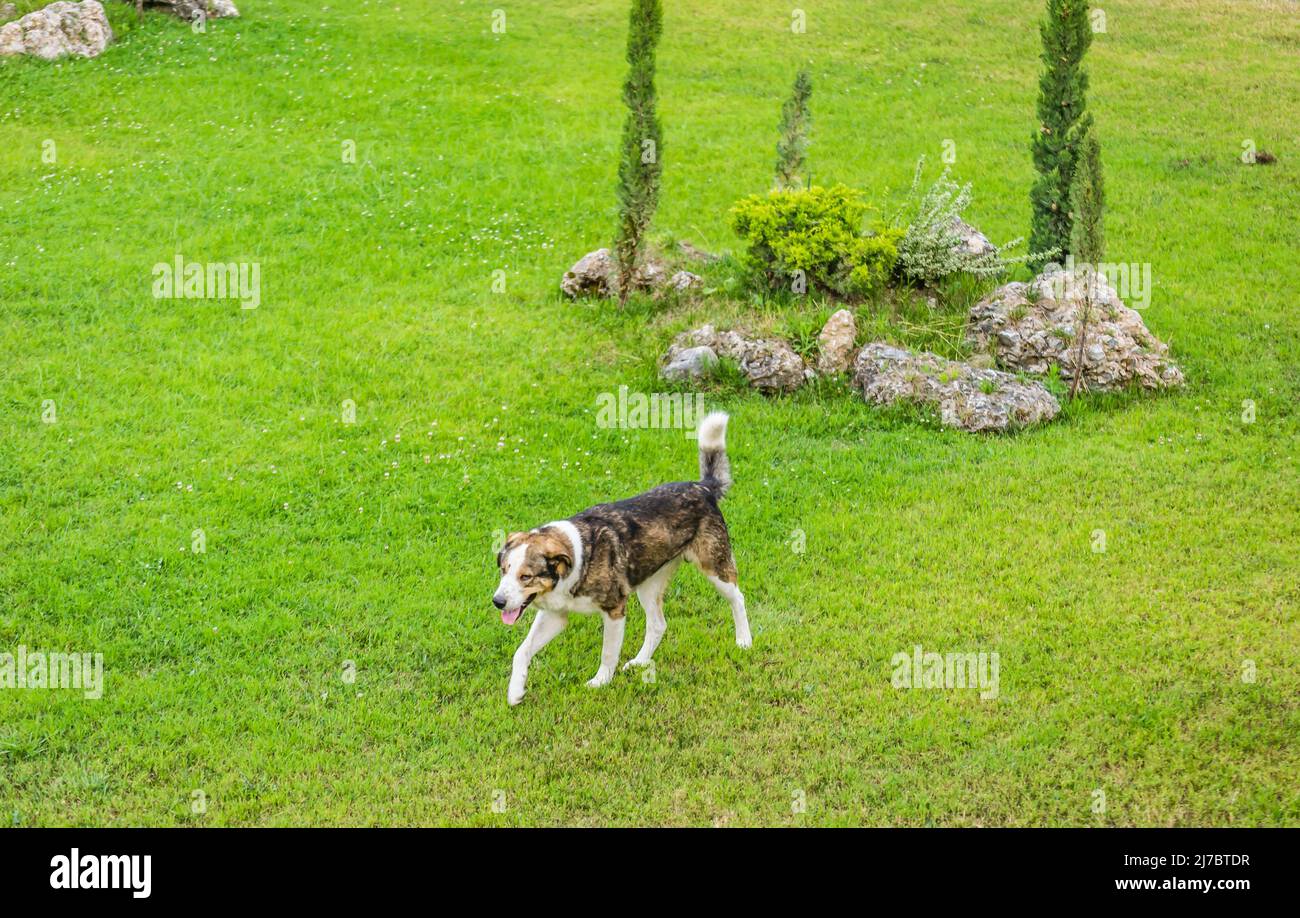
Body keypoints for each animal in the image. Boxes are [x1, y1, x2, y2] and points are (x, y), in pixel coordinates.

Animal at [488, 410, 754, 702]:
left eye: (526, 576)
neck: (578, 561)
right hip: (650, 583)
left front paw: (600, 682)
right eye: (503, 570)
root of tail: (703, 487)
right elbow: (521, 651)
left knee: (737, 598)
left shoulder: (615, 609)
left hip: (714, 565)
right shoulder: (554, 616)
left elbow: (607, 653)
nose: (498, 602)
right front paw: (515, 691)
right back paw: (640, 661)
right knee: (658, 625)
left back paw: (744, 640)